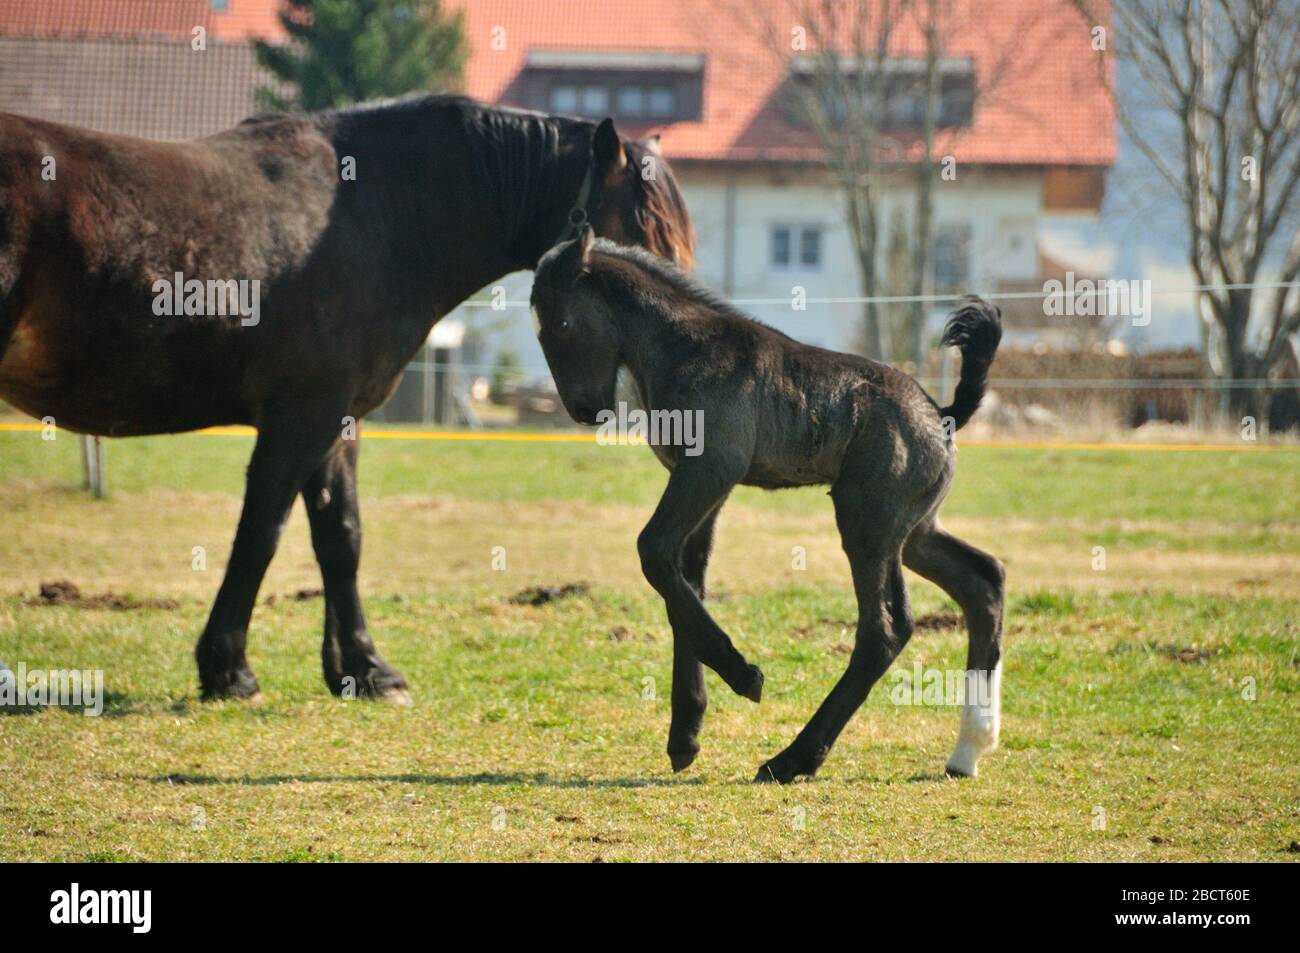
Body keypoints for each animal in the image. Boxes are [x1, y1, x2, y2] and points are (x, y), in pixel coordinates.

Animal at [0, 95, 695, 702]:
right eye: (641, 229)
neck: (374, 217)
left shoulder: (336, 419)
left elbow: (341, 536)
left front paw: (362, 669)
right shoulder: (299, 417)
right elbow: (262, 532)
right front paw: (228, 670)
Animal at [530, 227, 1005, 782]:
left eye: (560, 324)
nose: (583, 409)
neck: (684, 348)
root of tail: (944, 413)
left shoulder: (711, 469)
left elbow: (653, 552)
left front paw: (742, 675)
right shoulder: (699, 482)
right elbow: (683, 579)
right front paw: (685, 734)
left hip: (869, 524)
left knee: (886, 628)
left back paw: (793, 758)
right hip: (915, 531)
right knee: (983, 580)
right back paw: (968, 750)